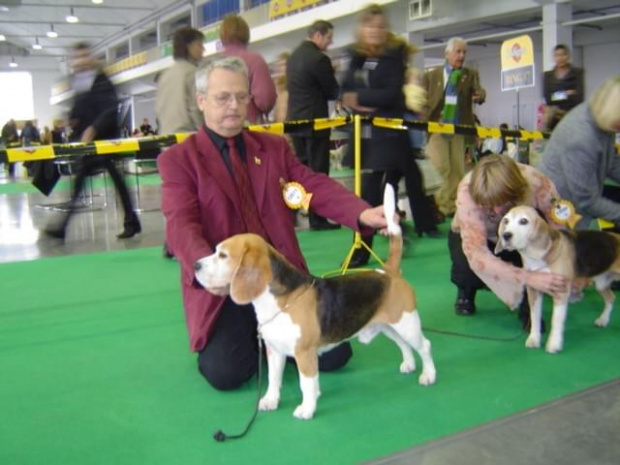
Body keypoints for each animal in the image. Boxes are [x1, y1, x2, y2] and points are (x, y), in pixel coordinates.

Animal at [194, 186, 436, 420]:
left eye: (223, 255)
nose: (195, 265)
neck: (282, 300)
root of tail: (389, 272)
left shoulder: (304, 353)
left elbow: (306, 384)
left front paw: (307, 409)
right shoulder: (274, 350)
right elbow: (273, 379)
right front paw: (271, 401)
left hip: (407, 323)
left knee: (424, 346)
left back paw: (429, 375)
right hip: (389, 325)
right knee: (403, 344)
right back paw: (409, 364)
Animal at [494, 205, 620, 354]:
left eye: (524, 221)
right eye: (506, 221)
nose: (506, 235)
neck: (536, 257)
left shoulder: (561, 291)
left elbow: (556, 320)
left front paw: (554, 344)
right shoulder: (533, 291)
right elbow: (534, 317)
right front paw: (534, 339)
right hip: (601, 283)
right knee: (611, 298)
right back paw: (603, 320)